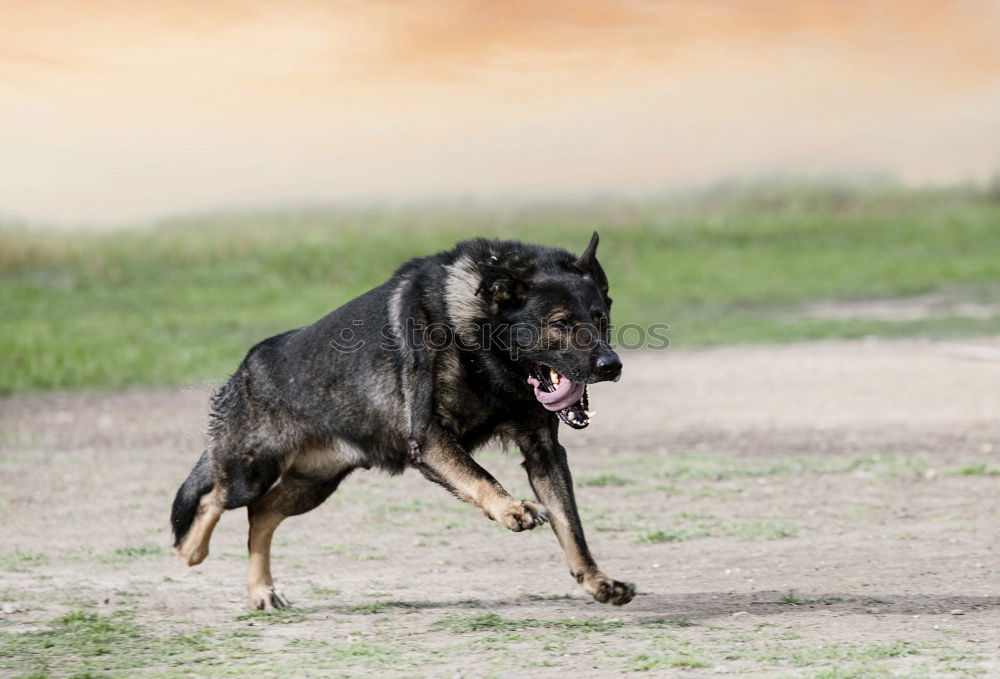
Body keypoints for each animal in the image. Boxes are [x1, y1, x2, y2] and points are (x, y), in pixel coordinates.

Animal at [170, 234, 632, 612]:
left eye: (600, 318)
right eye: (560, 323)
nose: (612, 366)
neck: (478, 337)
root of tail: (244, 369)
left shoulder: (543, 452)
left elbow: (570, 524)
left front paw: (596, 580)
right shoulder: (429, 438)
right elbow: (480, 476)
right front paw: (512, 509)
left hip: (313, 486)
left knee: (261, 515)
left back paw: (261, 591)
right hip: (253, 472)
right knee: (215, 498)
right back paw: (192, 552)